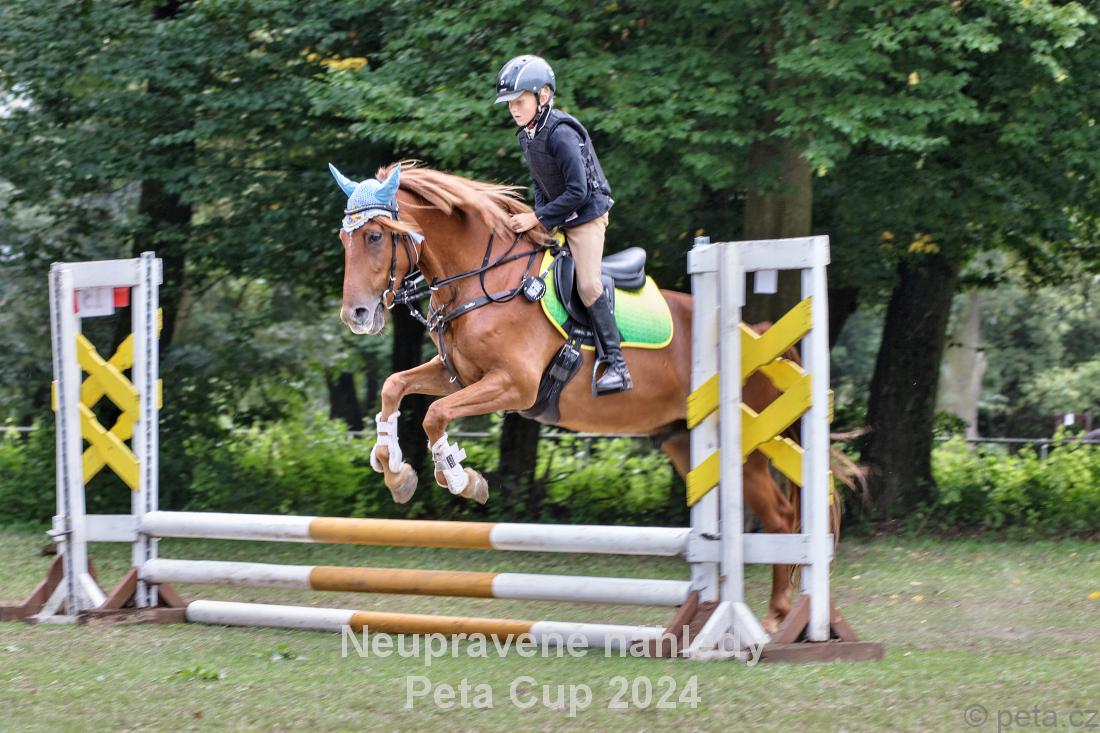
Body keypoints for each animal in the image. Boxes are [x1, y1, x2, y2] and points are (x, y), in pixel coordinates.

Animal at [331, 160, 805, 632]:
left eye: (375, 236)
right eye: (343, 239)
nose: (355, 315)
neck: (482, 281)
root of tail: (758, 333)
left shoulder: (513, 384)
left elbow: (434, 415)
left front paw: (463, 480)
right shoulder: (459, 377)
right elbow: (394, 387)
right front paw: (394, 469)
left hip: (744, 448)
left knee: (781, 516)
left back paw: (776, 619)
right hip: (683, 441)